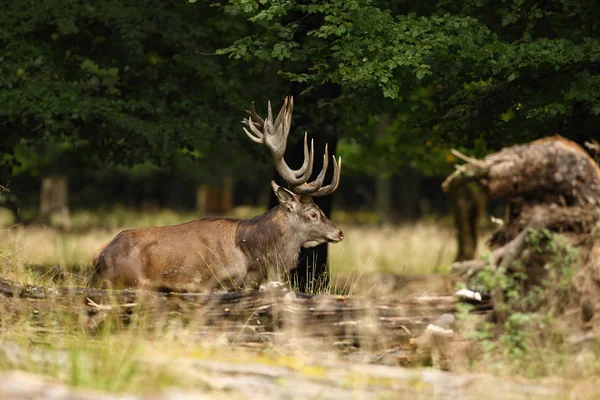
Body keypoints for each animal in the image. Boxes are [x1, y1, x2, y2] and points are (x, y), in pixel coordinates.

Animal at [88, 96, 342, 290]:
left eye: (320, 209)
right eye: (312, 213)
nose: (339, 232)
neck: (253, 257)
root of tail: (99, 257)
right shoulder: (215, 281)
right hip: (129, 279)